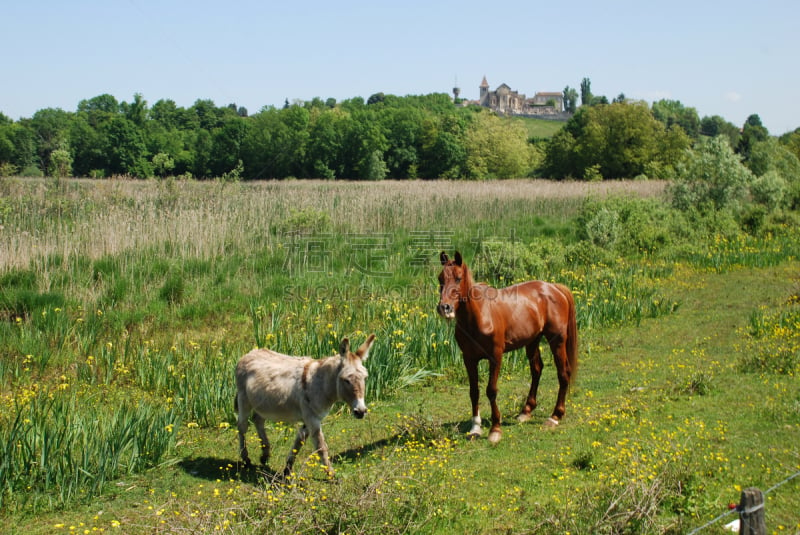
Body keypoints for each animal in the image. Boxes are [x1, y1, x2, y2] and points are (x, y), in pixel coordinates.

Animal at [438, 251, 576, 444]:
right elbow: (474, 391)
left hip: (557, 342)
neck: (479, 316)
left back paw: (555, 416)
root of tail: (554, 288)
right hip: (532, 341)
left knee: (563, 373)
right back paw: (526, 411)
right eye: (440, 279)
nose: (445, 308)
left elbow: (491, 390)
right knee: (537, 370)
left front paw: (495, 429)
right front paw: (475, 428)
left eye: (458, 278)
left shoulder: (495, 357)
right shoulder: (469, 359)